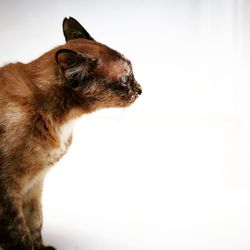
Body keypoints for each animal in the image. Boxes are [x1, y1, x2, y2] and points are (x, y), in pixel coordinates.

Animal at [0, 17, 142, 250]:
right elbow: (19, 234)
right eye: (125, 79)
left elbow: (35, 221)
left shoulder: (34, 184)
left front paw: (41, 248)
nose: (141, 89)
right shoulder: (8, 189)